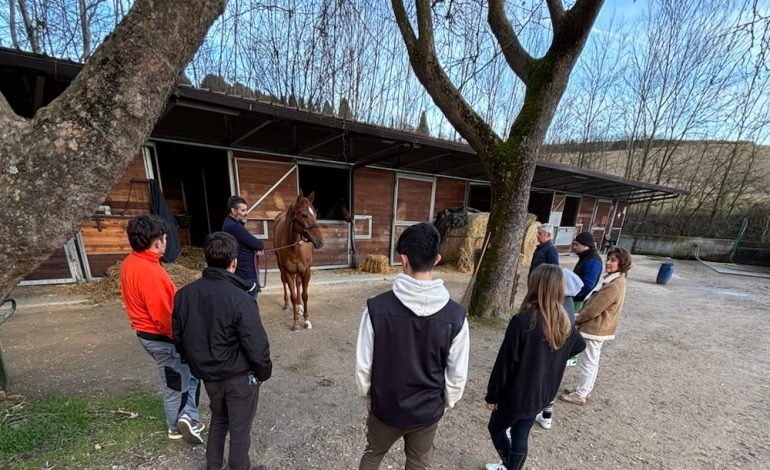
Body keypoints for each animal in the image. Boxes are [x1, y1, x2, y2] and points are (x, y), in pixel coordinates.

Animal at [274, 191, 322, 330]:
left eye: (315, 214)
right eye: (304, 214)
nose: (320, 241)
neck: (295, 247)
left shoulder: (306, 271)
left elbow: (304, 295)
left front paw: (306, 320)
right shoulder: (288, 271)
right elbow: (293, 296)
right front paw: (295, 323)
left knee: (298, 283)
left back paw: (300, 307)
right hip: (281, 267)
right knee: (285, 283)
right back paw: (286, 304)